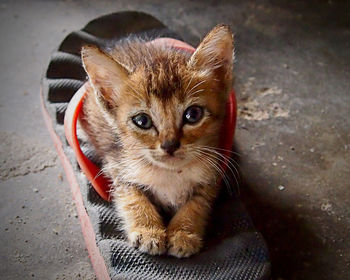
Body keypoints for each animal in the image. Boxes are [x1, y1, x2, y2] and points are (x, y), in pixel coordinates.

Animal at [80, 25, 234, 258]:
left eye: (193, 115)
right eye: (142, 121)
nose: (170, 145)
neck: (171, 174)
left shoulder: (212, 174)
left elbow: (197, 203)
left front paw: (183, 232)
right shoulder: (116, 165)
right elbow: (132, 197)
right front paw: (148, 230)